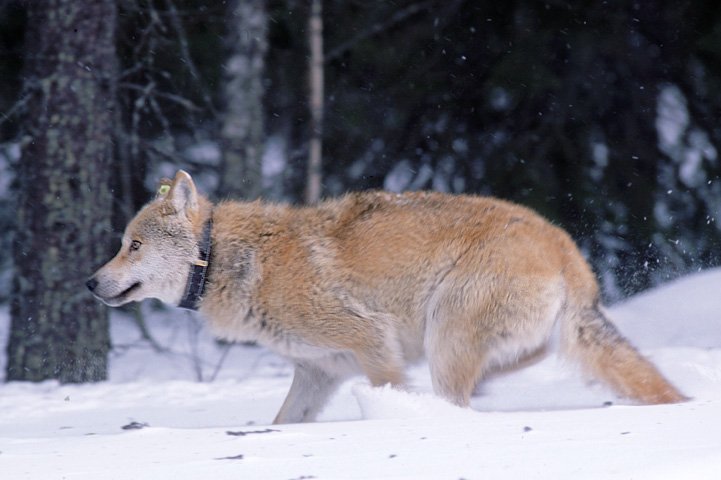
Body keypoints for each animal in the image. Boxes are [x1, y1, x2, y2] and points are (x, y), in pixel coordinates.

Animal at [87, 171, 684, 422]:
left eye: (132, 245)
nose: (90, 283)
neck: (228, 260)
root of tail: (565, 247)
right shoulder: (318, 374)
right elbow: (282, 422)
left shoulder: (373, 344)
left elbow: (387, 389)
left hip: (445, 334)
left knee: (458, 401)